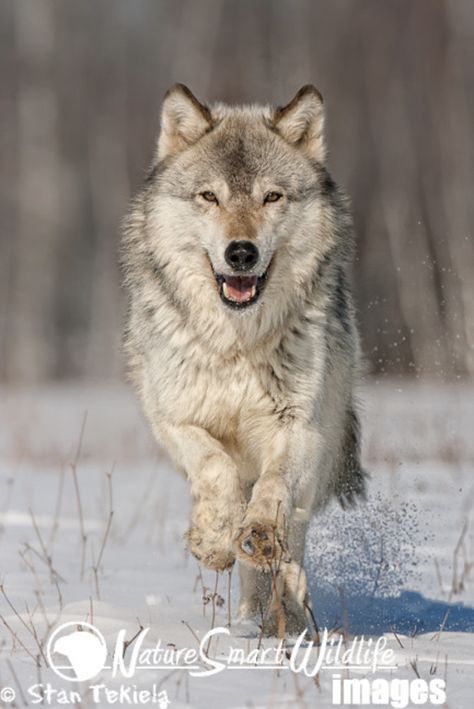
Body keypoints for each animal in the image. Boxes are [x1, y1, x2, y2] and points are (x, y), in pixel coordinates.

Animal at [120, 84, 364, 636]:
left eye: (271, 197)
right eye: (209, 197)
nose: (241, 253)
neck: (237, 345)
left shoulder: (299, 426)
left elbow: (272, 492)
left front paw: (260, 535)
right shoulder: (175, 419)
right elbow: (215, 468)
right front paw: (213, 542)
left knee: (290, 540)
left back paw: (285, 612)